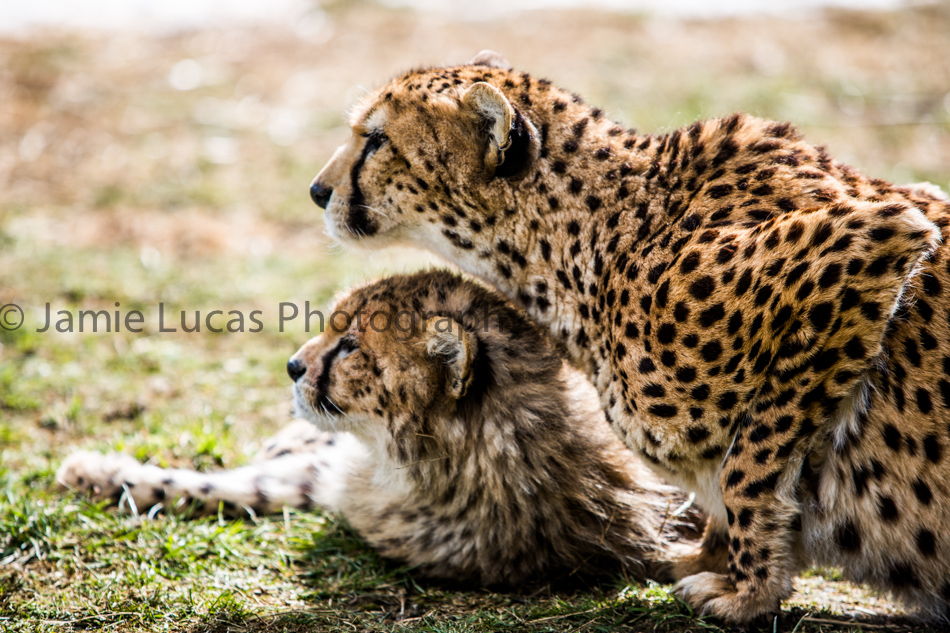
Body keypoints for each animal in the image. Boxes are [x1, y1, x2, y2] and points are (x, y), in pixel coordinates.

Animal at [306, 49, 950, 622]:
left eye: (376, 139)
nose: (317, 191)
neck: (588, 242)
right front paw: (700, 558)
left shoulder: (874, 239)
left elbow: (746, 468)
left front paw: (751, 593)